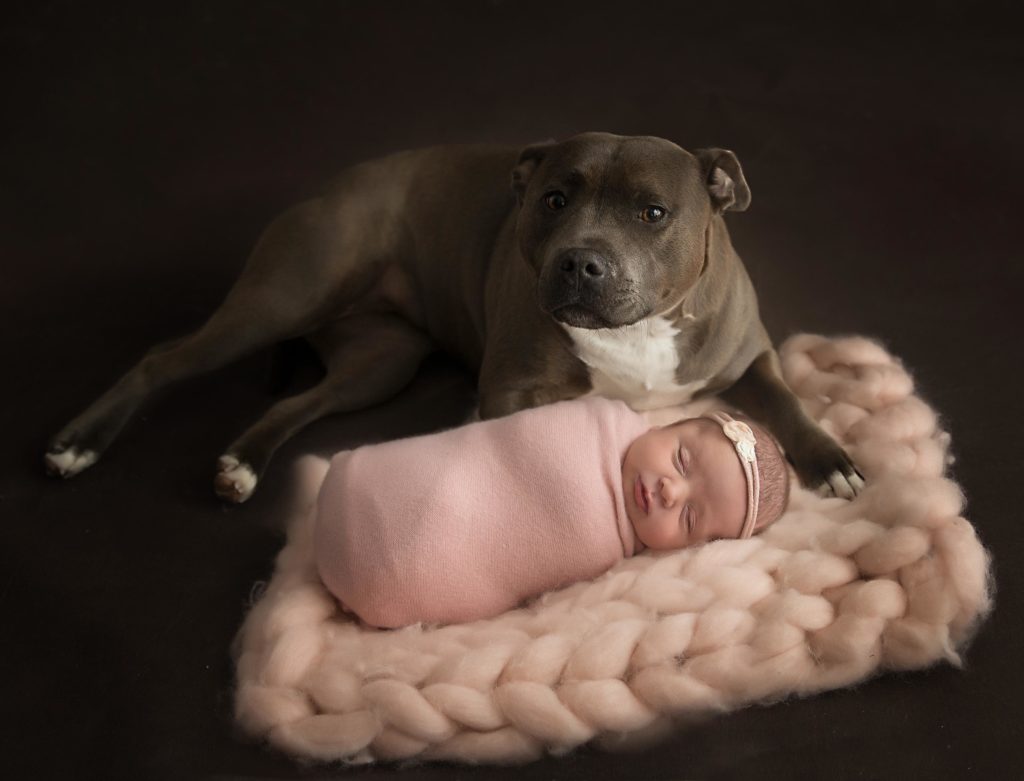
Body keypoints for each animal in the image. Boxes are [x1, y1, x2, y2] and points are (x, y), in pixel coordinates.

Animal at [46, 131, 864, 503]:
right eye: (554, 200)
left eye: (652, 212)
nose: (580, 262)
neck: (635, 331)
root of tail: (330, 186)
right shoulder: (510, 391)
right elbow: (517, 447)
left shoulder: (750, 356)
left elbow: (789, 402)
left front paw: (830, 458)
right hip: (282, 295)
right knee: (162, 358)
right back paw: (78, 443)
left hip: (379, 364)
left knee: (300, 400)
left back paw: (242, 462)